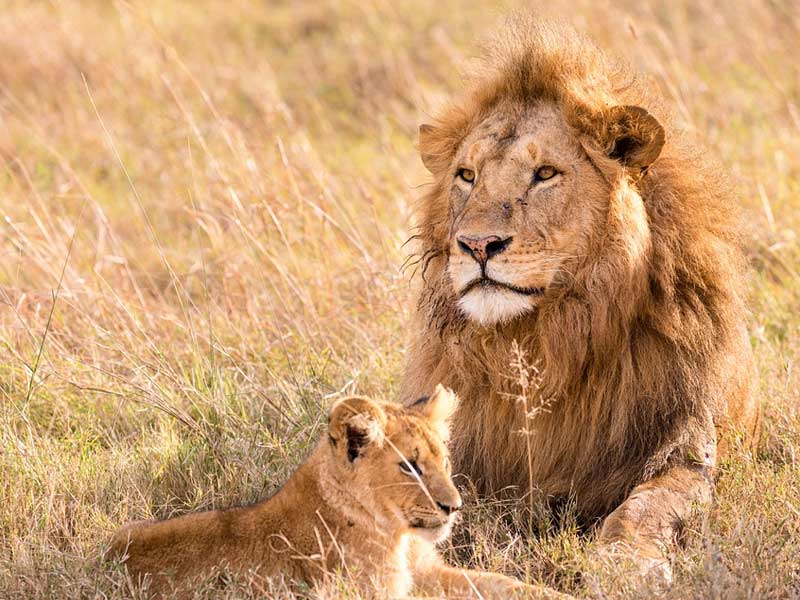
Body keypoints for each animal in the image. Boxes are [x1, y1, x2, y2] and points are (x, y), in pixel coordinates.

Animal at [109, 386, 566, 598]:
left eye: (445, 460)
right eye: (409, 467)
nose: (453, 507)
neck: (398, 536)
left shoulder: (428, 575)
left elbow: (504, 584)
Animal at [401, 18, 761, 581]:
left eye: (545, 173)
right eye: (467, 176)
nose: (477, 245)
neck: (542, 340)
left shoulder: (685, 449)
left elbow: (646, 506)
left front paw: (625, 564)